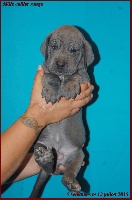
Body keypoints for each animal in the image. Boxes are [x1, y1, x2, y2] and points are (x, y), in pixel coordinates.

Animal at [29, 25, 94, 198]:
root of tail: (59, 158)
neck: (62, 76)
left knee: (68, 173)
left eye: (74, 50)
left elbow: (76, 74)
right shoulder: (44, 70)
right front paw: (52, 90)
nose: (60, 63)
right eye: (54, 47)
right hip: (39, 145)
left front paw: (69, 86)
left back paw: (71, 182)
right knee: (46, 166)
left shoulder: (86, 78)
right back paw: (45, 160)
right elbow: (50, 75)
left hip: (78, 154)